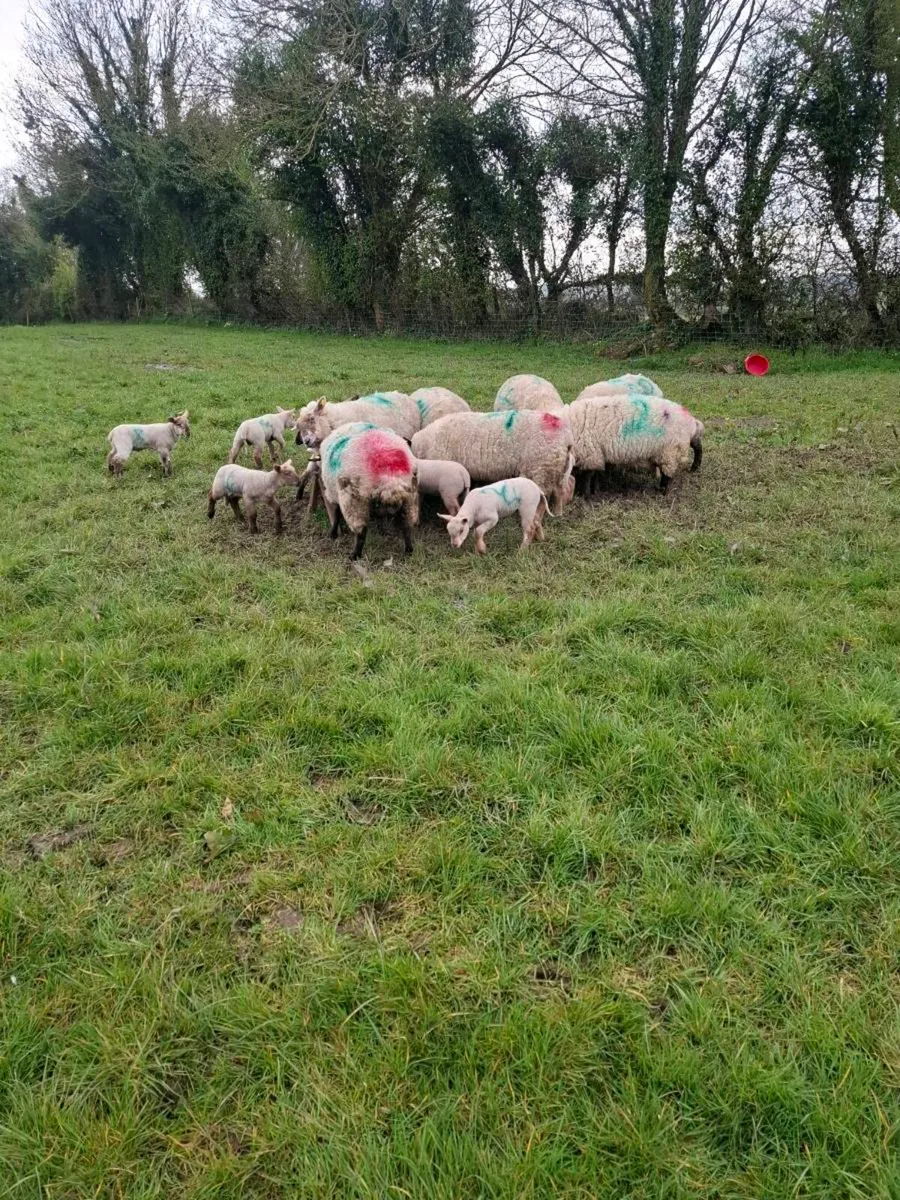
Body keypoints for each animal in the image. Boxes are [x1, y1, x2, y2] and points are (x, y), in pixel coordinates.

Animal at [319, 422, 419, 560]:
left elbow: (336, 513)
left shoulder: (335, 493)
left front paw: (333, 533)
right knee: (407, 526)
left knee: (361, 532)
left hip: (355, 500)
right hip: (410, 498)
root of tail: (390, 476)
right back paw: (408, 550)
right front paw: (382, 529)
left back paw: (355, 555)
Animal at [411, 409, 575, 515]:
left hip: (540, 469)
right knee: (560, 491)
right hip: (557, 469)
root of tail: (566, 437)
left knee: (542, 497)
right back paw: (558, 513)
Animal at [568, 394, 704, 494]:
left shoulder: (590, 454)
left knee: (668, 472)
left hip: (670, 452)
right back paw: (694, 467)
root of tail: (691, 421)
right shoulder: (597, 455)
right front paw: (594, 490)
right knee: (697, 445)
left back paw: (662, 490)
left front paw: (586, 494)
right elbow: (594, 475)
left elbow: (588, 477)